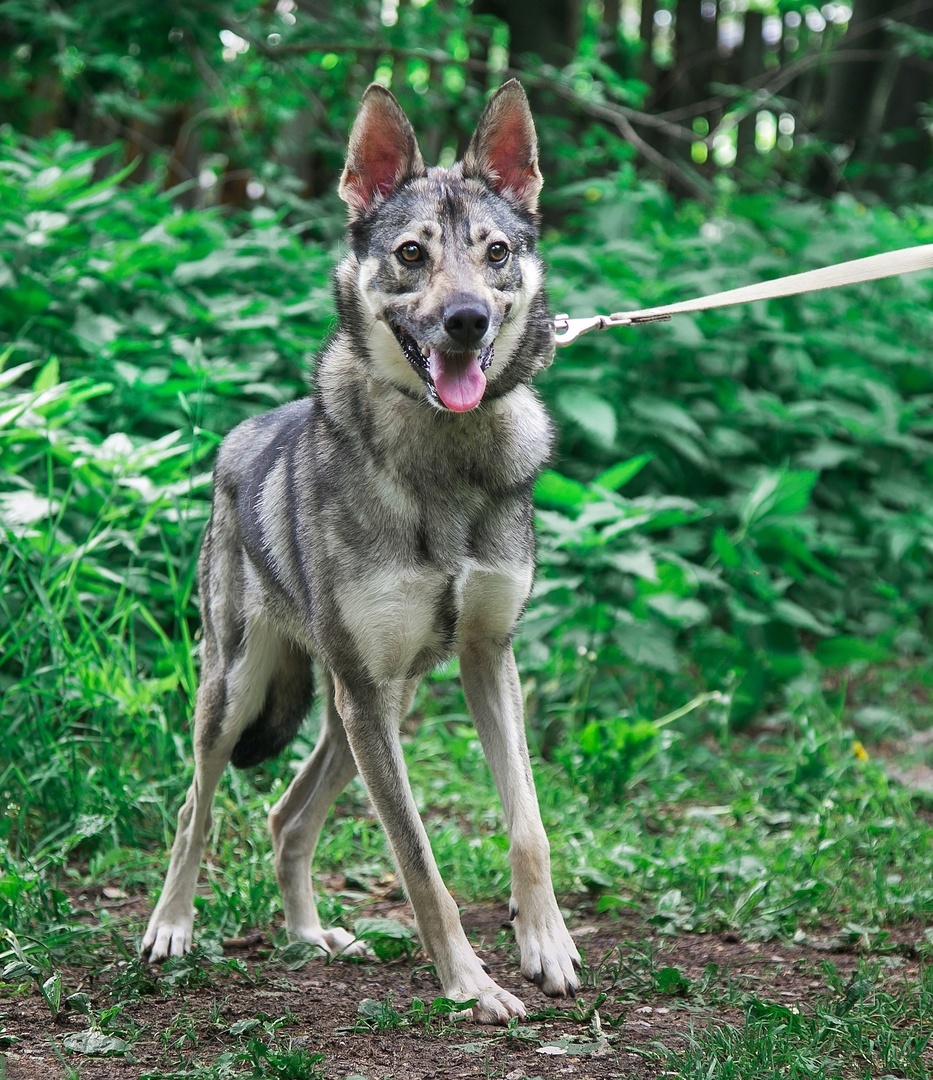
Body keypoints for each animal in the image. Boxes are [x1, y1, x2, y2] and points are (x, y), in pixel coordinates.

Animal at [138, 78, 578, 1019]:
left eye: (495, 253)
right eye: (411, 254)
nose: (466, 321)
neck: (446, 459)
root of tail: (239, 438)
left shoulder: (489, 658)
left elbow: (527, 825)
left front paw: (545, 945)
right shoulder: (365, 695)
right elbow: (419, 861)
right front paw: (470, 986)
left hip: (370, 708)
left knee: (287, 817)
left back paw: (310, 939)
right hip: (248, 695)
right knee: (196, 810)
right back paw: (170, 931)